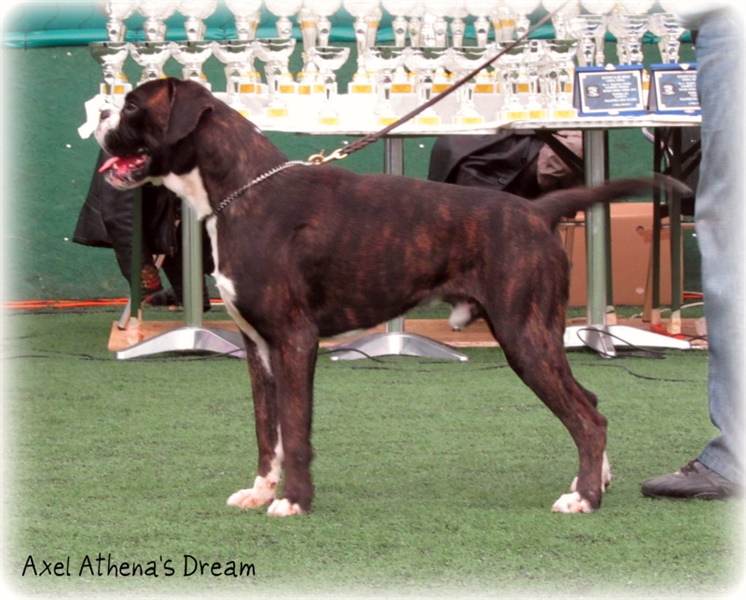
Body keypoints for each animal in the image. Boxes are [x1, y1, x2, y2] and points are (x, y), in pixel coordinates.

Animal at [97, 75, 652, 516]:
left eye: (132, 106)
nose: (101, 111)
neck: (242, 190)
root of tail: (537, 210)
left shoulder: (295, 340)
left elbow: (294, 428)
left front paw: (294, 501)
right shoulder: (259, 348)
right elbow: (266, 432)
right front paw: (261, 492)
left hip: (525, 336)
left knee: (588, 419)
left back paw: (584, 499)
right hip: (536, 337)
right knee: (589, 402)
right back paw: (595, 482)